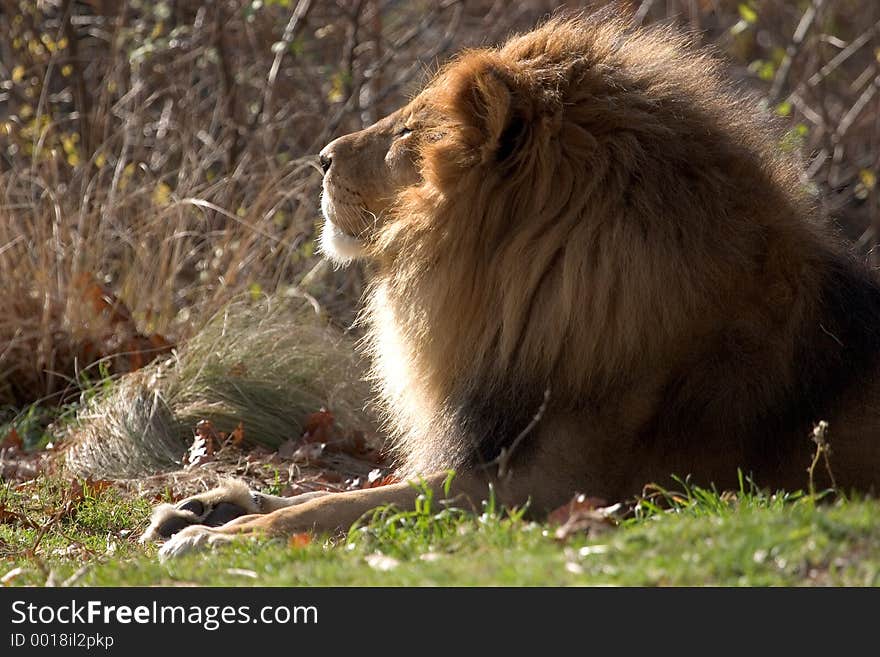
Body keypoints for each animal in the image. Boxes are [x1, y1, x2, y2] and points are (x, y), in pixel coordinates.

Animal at [143, 15, 880, 556]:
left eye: (405, 132)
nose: (320, 158)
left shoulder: (553, 488)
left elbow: (348, 502)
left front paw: (220, 536)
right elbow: (343, 491)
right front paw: (205, 506)